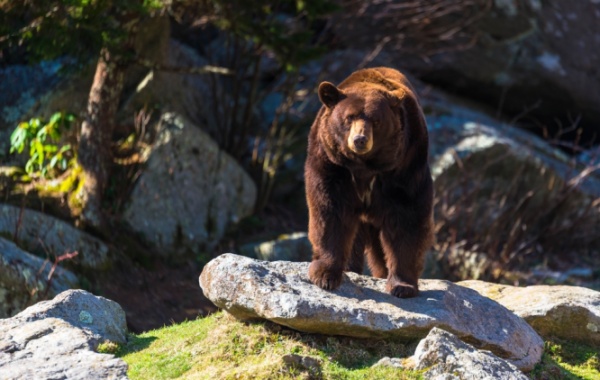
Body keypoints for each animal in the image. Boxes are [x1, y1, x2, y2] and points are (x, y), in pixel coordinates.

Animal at [304, 67, 432, 298]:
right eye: (349, 117)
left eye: (376, 121)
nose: (360, 140)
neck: (364, 167)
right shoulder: (331, 165)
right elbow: (330, 212)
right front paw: (325, 275)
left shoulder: (405, 167)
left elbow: (407, 219)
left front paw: (402, 285)